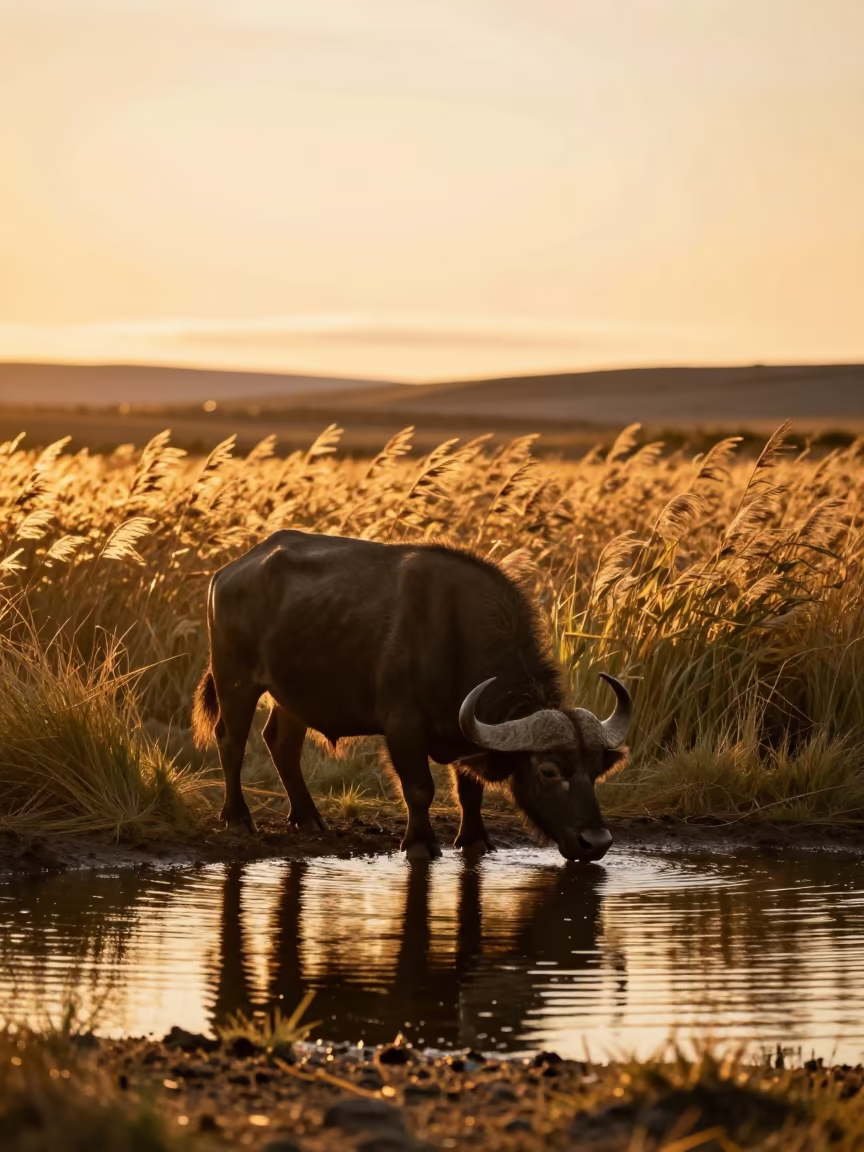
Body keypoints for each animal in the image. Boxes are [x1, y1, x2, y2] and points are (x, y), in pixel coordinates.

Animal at [192, 530, 631, 861]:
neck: (457, 635)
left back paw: (308, 817)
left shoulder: (465, 732)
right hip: (235, 678)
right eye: (549, 771)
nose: (596, 843)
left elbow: (470, 790)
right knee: (231, 739)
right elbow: (420, 789)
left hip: (292, 696)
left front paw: (474, 840)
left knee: (281, 744)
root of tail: (228, 572)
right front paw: (420, 844)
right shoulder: (403, 727)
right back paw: (237, 817)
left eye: (596, 770)